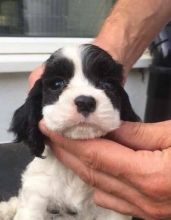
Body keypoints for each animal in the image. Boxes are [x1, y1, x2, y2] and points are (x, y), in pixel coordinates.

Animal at [0, 44, 139, 220]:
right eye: (57, 84)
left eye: (107, 84)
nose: (85, 102)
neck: (72, 174)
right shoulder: (37, 194)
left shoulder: (114, 207)